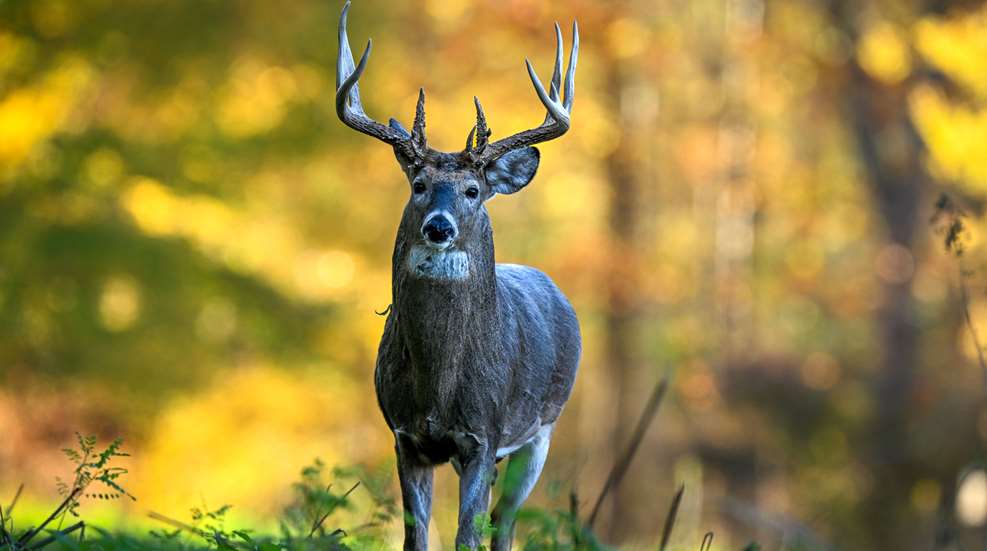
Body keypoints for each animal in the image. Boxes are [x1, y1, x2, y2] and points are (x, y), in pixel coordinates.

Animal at [335, 2, 580, 549]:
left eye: (472, 190)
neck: (439, 384)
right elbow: (416, 537)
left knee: (505, 523)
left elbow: (468, 535)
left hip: (543, 431)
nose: (439, 226)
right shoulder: (406, 437)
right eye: (419, 184)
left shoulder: (484, 436)